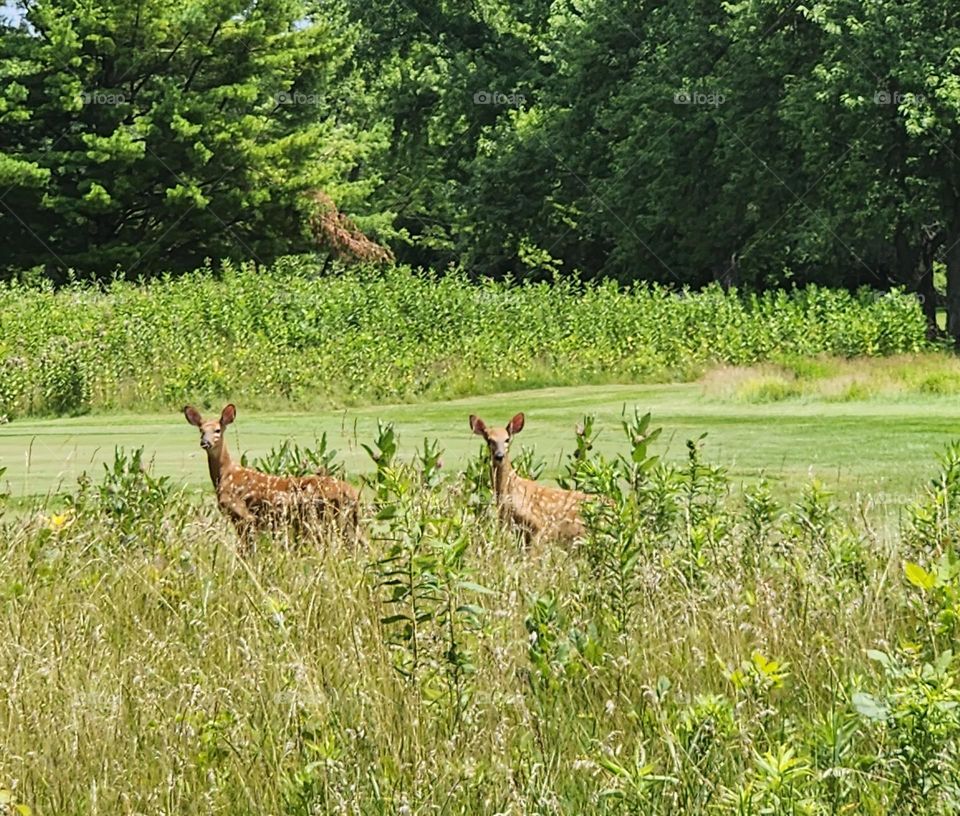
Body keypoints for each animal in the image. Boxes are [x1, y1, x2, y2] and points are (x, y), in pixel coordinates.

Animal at [183, 403, 362, 550]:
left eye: (217, 430)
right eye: (201, 430)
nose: (205, 442)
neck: (226, 474)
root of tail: (353, 493)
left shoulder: (244, 515)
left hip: (325, 517)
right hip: (346, 520)